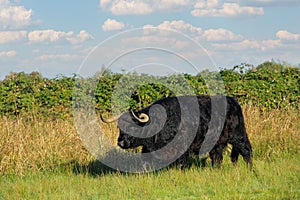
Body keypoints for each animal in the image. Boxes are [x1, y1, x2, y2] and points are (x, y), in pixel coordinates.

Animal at [101, 95, 253, 169]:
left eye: (133, 127)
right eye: (120, 128)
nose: (121, 142)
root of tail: (233, 101)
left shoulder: (182, 148)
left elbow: (182, 164)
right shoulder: (148, 149)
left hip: (239, 135)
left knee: (246, 151)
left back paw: (250, 169)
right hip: (217, 143)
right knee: (217, 157)